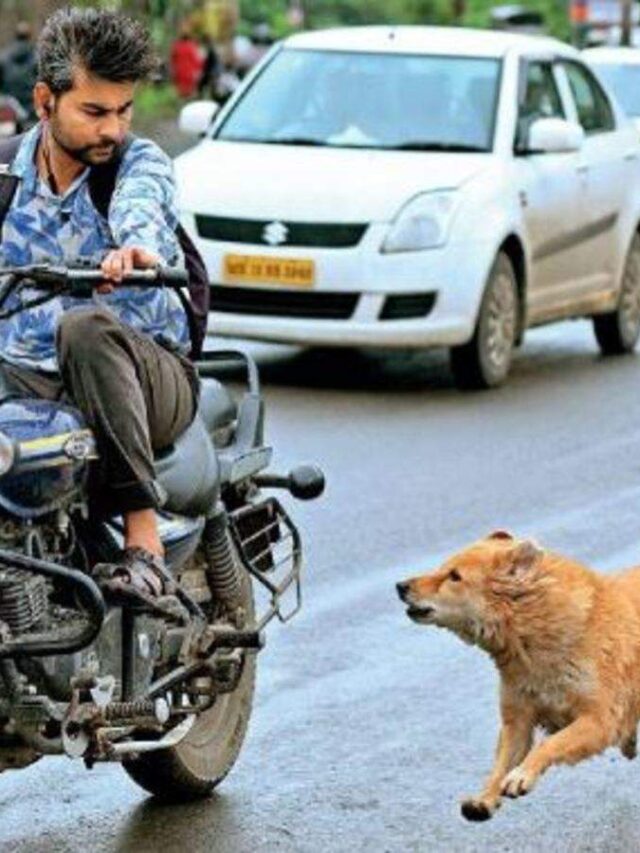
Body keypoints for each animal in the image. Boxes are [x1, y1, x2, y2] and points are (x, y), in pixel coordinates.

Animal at [398, 532, 640, 820]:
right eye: (442, 567)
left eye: (454, 576)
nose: (400, 586)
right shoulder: (518, 717)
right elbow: (502, 761)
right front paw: (484, 799)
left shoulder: (599, 719)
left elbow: (550, 744)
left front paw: (521, 775)